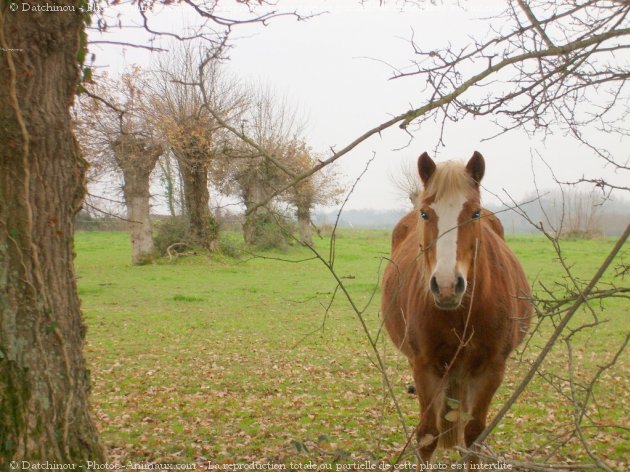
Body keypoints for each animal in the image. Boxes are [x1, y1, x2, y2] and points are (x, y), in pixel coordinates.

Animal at [380, 153, 532, 462]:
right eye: (425, 214)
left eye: (474, 213)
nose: (447, 285)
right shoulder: (425, 368)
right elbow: (427, 436)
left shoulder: (491, 370)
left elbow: (474, 436)